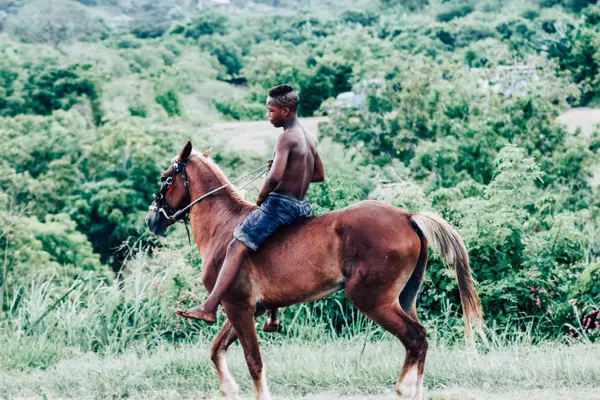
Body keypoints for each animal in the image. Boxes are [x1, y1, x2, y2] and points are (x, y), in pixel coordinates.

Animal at [145, 141, 482, 400]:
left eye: (165, 179)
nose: (152, 219)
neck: (223, 226)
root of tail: (406, 216)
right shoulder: (243, 308)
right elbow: (217, 350)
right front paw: (228, 389)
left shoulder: (236, 306)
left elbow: (254, 361)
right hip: (404, 299)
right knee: (420, 341)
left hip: (373, 300)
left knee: (415, 338)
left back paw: (403, 389)